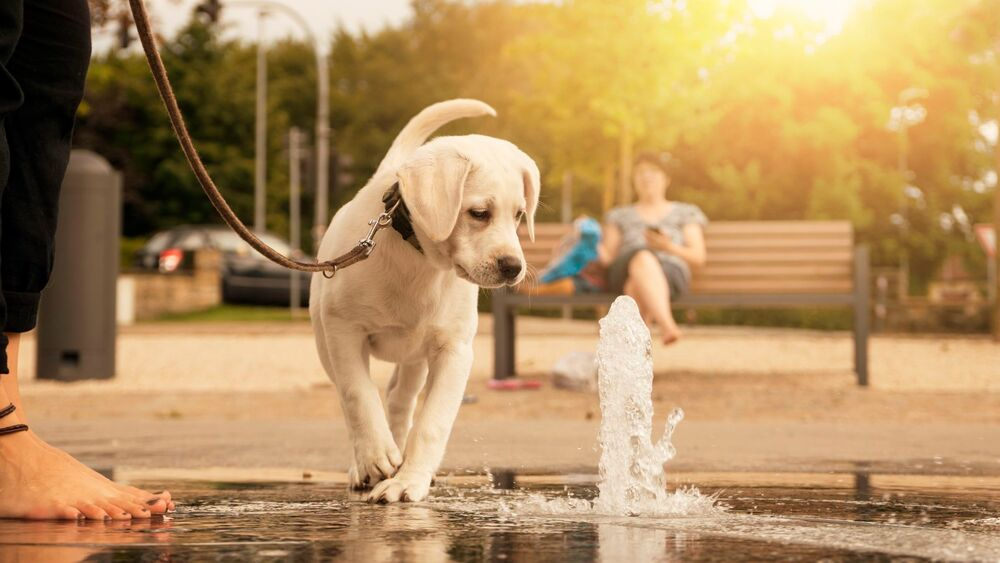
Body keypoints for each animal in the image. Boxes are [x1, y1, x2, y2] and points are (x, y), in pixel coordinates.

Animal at [308, 99, 540, 504]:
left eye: (519, 215)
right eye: (479, 213)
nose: (513, 267)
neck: (419, 262)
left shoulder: (454, 350)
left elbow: (433, 421)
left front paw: (408, 480)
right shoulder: (343, 331)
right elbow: (357, 394)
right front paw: (376, 455)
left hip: (415, 356)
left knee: (400, 400)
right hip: (327, 345)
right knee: (351, 396)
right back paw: (365, 464)